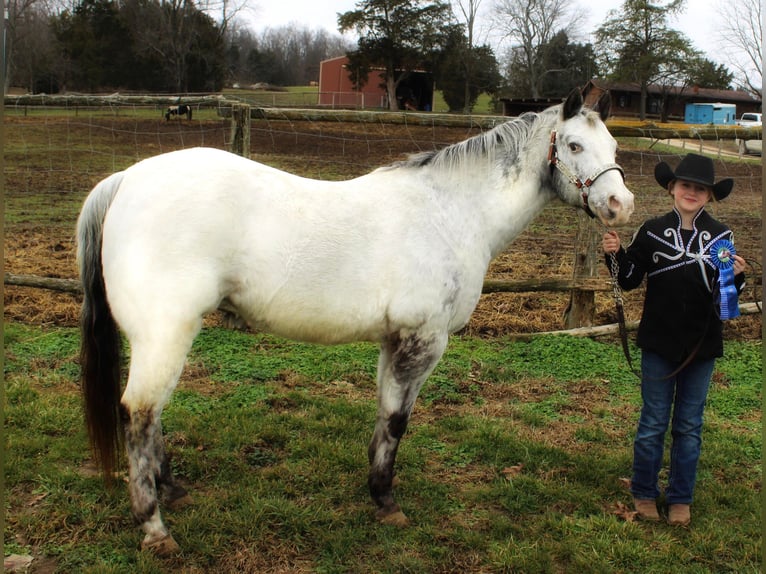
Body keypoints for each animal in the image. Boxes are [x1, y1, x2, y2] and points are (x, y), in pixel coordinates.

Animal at [78, 89, 636, 552]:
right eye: (573, 145)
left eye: (612, 144)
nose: (620, 205)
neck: (450, 212)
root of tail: (124, 181)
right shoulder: (424, 341)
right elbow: (397, 420)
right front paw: (387, 502)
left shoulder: (394, 341)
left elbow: (384, 417)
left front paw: (376, 490)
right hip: (166, 333)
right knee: (139, 415)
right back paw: (155, 529)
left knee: (149, 418)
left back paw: (172, 490)